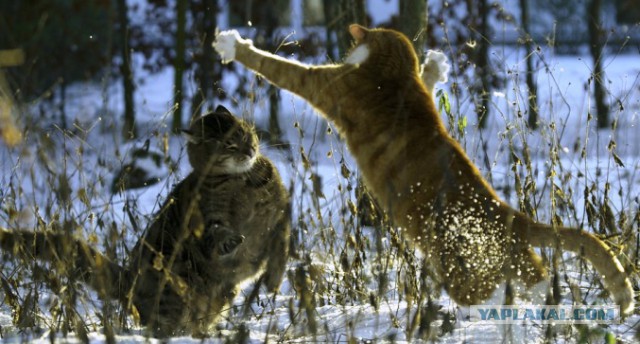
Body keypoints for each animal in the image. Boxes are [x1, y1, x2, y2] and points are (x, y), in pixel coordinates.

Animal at [0, 105, 290, 336]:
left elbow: (281, 247)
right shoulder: (207, 219)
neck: (240, 181)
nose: (250, 149)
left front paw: (274, 279)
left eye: (245, 133)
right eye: (229, 144)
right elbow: (218, 232)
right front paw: (230, 242)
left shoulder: (281, 214)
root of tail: (127, 280)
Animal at [212, 25, 632, 314]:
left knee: (489, 293)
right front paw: (436, 64)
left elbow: (277, 66)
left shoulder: (327, 84)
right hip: (514, 263)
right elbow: (428, 79)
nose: (349, 47)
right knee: (539, 280)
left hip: (459, 266)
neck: (395, 72)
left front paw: (234, 45)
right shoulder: (419, 90)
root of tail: (511, 215)